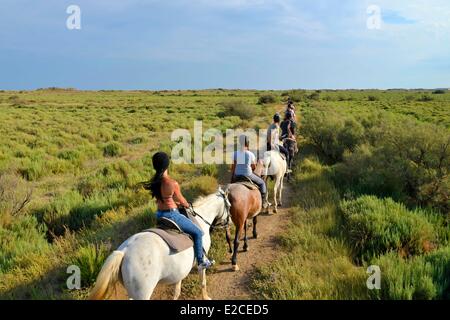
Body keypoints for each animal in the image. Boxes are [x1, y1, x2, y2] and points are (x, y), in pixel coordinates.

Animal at [88, 188, 230, 300]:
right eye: (229, 205)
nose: (228, 223)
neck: (199, 220)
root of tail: (124, 251)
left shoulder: (180, 270)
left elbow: (177, 290)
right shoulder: (202, 263)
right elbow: (203, 282)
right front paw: (206, 297)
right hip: (143, 294)